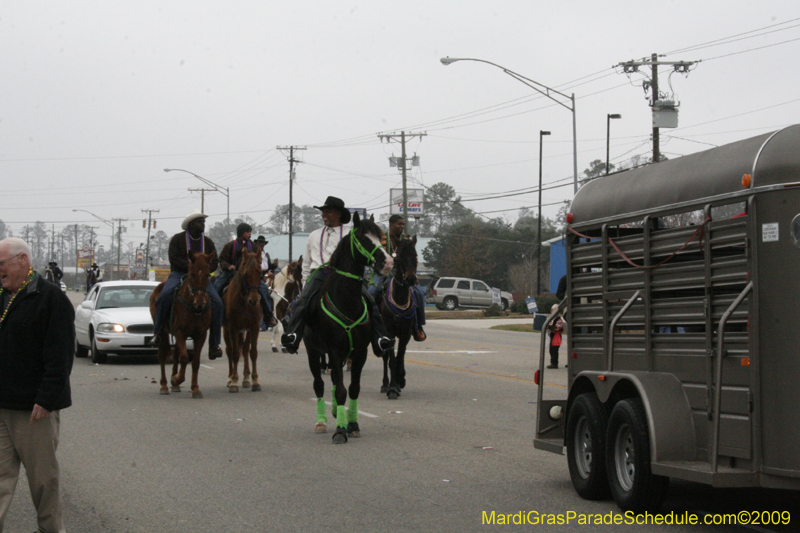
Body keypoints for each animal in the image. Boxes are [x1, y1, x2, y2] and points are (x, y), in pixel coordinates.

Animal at [148, 251, 214, 396]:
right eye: (191, 274)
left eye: (207, 274)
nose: (199, 303)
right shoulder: (180, 332)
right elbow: (184, 358)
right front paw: (177, 379)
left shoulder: (201, 335)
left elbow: (195, 361)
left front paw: (195, 388)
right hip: (163, 331)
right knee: (162, 354)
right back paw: (164, 385)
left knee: (176, 353)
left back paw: (175, 385)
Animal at [222, 247, 262, 392]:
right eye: (245, 274)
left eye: (260, 273)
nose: (253, 300)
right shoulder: (233, 328)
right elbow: (234, 353)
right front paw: (234, 381)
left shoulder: (254, 327)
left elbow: (252, 352)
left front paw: (255, 381)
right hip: (227, 329)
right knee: (229, 350)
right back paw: (229, 379)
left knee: (244, 350)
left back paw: (246, 379)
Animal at [304, 214, 394, 442]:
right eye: (363, 238)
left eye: (380, 237)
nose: (388, 262)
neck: (346, 301)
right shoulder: (334, 350)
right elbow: (341, 390)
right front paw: (340, 430)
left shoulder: (360, 351)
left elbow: (353, 389)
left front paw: (352, 424)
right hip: (312, 351)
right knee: (319, 384)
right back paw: (321, 422)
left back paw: (336, 411)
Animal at [380, 235, 422, 396]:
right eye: (399, 257)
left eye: (415, 255)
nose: (411, 279)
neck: (400, 298)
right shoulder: (390, 332)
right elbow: (392, 359)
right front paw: (392, 387)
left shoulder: (406, 333)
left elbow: (400, 356)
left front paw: (400, 380)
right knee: (385, 357)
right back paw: (384, 384)